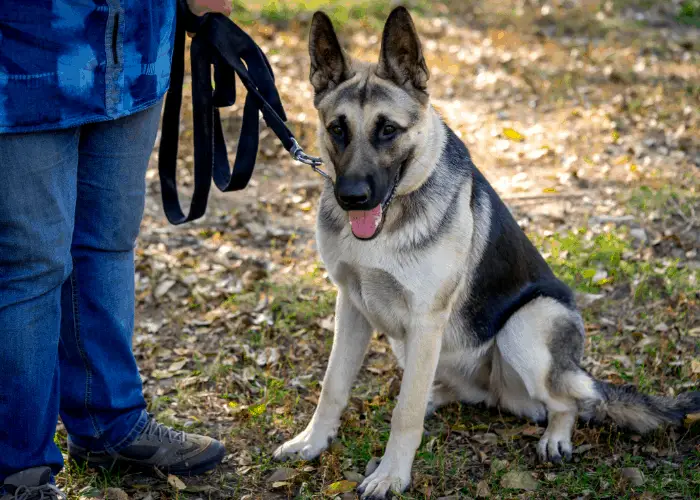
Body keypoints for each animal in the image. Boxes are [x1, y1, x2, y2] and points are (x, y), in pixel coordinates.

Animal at [274, 7, 700, 500]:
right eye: (337, 129)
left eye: (388, 130)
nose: (352, 198)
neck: (390, 221)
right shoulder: (352, 307)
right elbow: (333, 385)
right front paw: (312, 441)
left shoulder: (425, 319)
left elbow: (404, 414)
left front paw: (392, 474)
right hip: (419, 345)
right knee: (455, 390)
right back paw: (440, 394)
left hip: (525, 326)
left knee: (570, 400)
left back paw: (556, 435)